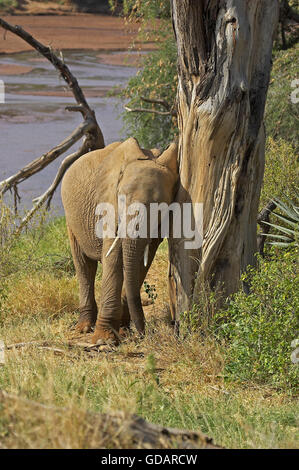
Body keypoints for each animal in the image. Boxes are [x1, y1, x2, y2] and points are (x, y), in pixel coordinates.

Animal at [61, 136, 178, 346]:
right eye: (122, 200)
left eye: (160, 209)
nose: (144, 334)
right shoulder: (109, 205)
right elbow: (114, 257)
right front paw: (104, 340)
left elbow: (141, 260)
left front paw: (121, 331)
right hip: (71, 219)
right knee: (84, 265)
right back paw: (84, 328)